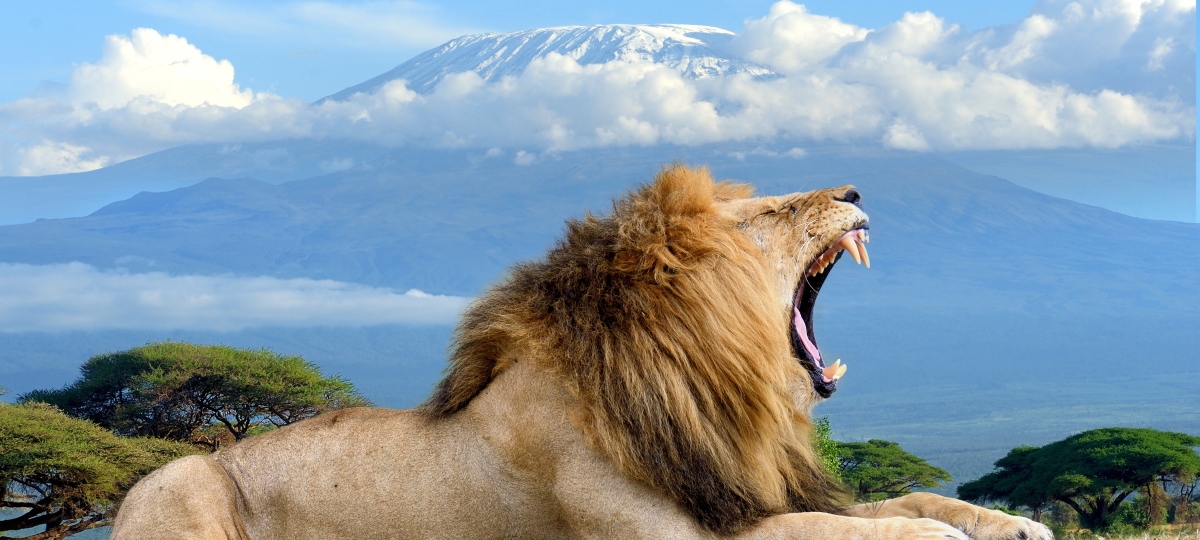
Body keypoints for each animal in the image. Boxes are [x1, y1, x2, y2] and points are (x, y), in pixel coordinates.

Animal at [112, 165, 1051, 540]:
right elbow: (825, 529)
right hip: (181, 480)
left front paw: (1008, 522)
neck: (709, 385)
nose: (854, 189)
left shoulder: (737, 489)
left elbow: (905, 493)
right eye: (772, 213)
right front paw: (933, 536)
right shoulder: (672, 535)